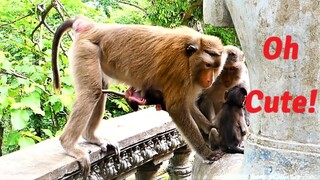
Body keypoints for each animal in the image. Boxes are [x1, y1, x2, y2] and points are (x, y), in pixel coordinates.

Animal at [52, 15, 226, 176]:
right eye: (208, 65)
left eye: (216, 67)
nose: (210, 80)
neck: (189, 56)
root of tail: (92, 27)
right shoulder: (179, 71)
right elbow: (177, 108)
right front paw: (207, 153)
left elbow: (189, 105)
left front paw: (212, 128)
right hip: (87, 49)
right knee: (91, 91)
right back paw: (68, 144)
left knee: (100, 89)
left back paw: (91, 136)